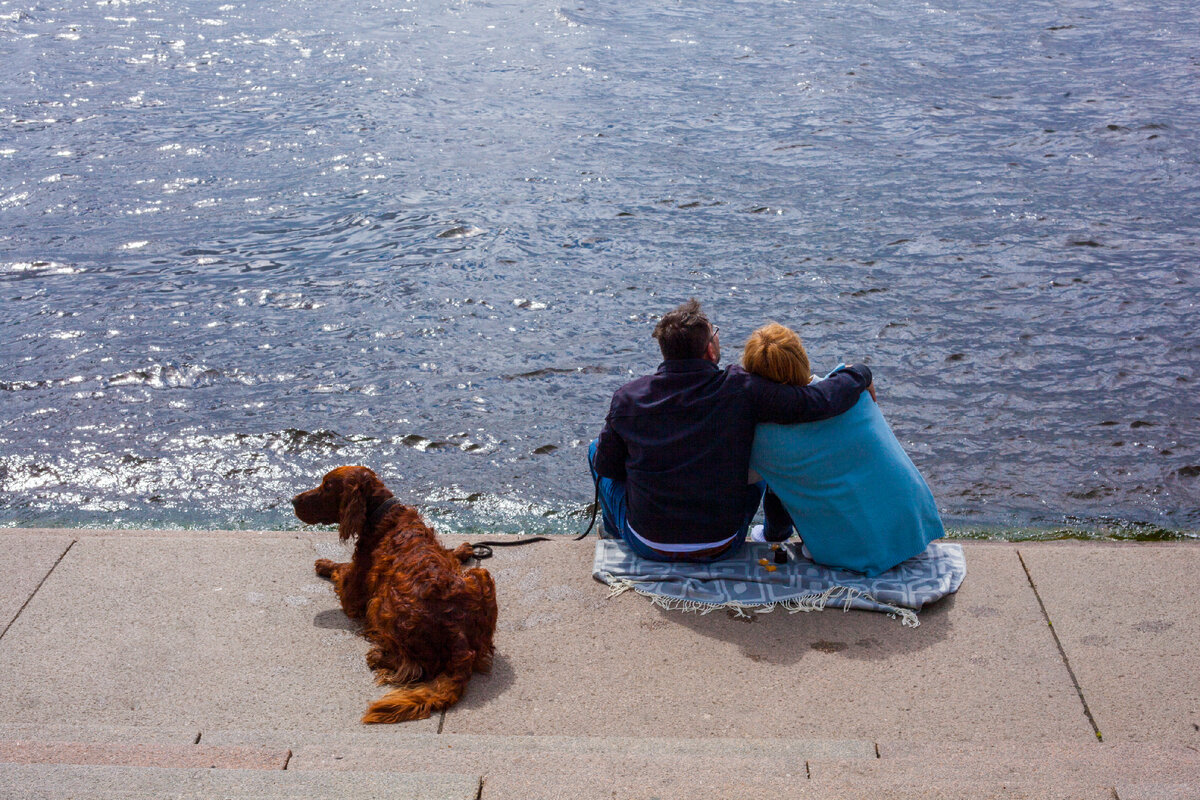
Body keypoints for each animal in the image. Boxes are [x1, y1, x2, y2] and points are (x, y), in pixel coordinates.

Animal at [291, 465, 496, 724]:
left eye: (327, 486)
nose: (293, 500)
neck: (384, 514)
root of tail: (459, 637)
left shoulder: (352, 594)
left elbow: (342, 569)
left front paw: (325, 564)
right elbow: (449, 554)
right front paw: (461, 550)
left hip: (385, 603)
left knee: (415, 667)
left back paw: (379, 656)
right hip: (482, 576)